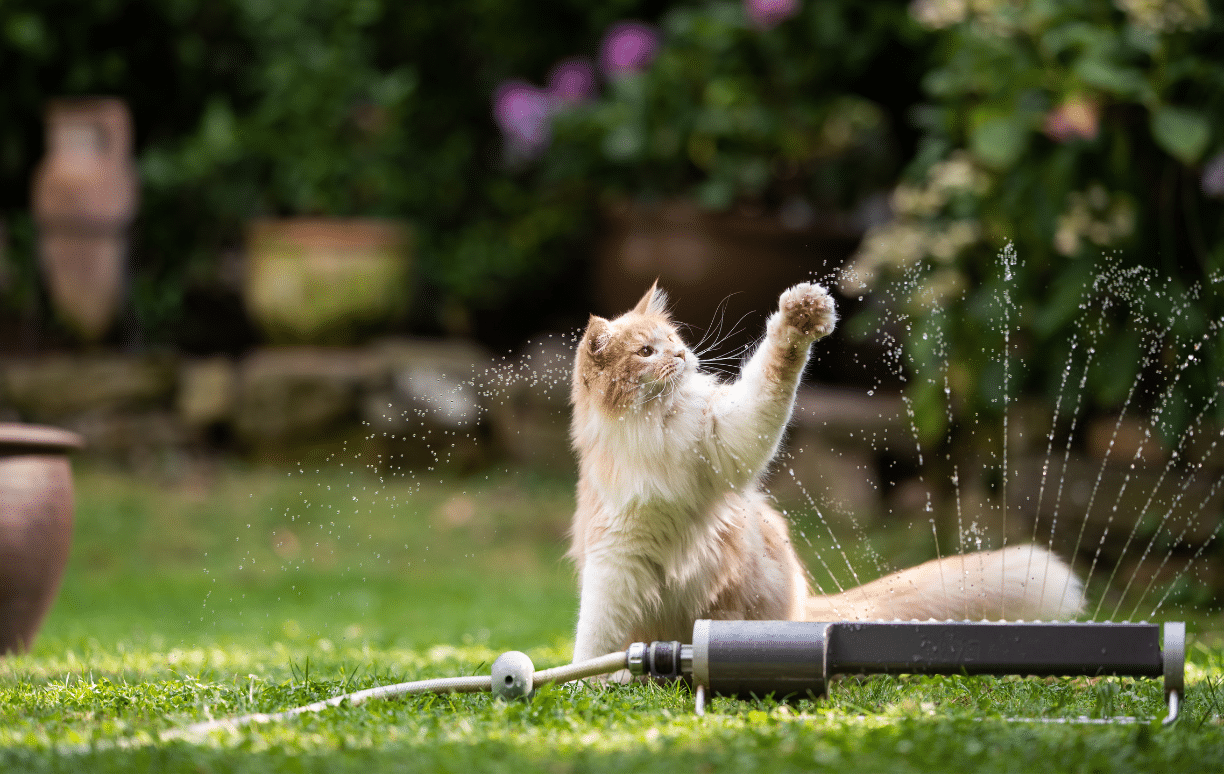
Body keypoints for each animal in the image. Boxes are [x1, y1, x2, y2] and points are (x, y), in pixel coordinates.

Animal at [565, 281, 1082, 661]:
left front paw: (800, 318)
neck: (657, 429)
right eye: (646, 352)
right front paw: (591, 680)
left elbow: (776, 373)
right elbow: (594, 637)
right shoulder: (615, 557)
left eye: (674, 342)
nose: (682, 357)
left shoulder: (727, 438)